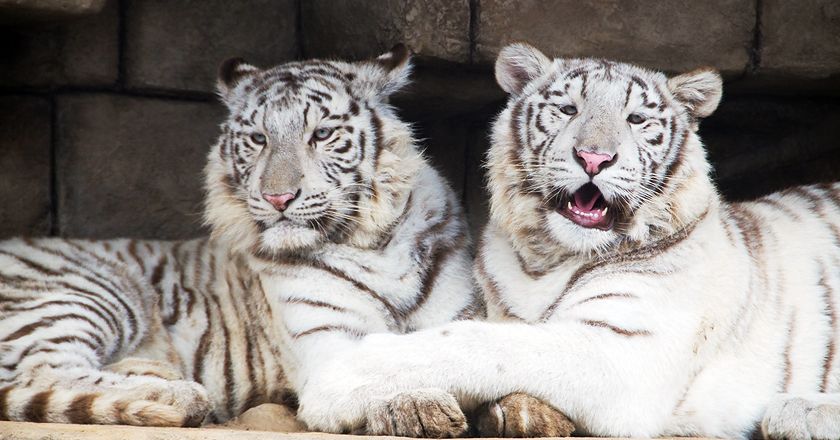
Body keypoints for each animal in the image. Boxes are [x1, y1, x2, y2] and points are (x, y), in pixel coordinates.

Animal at [0, 46, 492, 432]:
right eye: (258, 139)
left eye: (322, 134)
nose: (278, 197)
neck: (374, 243)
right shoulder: (329, 351)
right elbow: (382, 375)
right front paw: (422, 405)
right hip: (90, 290)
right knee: (40, 373)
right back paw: (178, 395)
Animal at [292, 42, 840, 440]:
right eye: (567, 110)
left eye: (636, 120)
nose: (594, 158)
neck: (545, 258)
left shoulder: (623, 349)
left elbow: (480, 343)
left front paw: (339, 376)